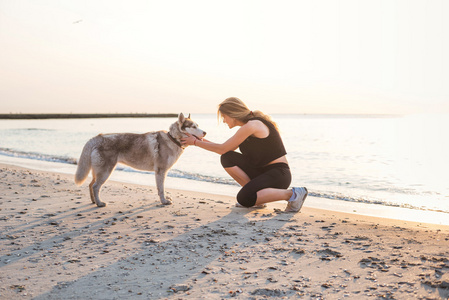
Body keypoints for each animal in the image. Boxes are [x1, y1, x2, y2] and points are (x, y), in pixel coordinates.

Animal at [74, 112, 206, 206]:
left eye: (198, 126)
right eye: (193, 126)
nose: (205, 132)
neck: (172, 138)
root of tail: (97, 137)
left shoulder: (162, 172)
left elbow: (161, 189)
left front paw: (164, 198)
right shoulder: (160, 171)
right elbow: (161, 189)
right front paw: (163, 201)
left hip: (98, 171)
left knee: (91, 184)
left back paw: (93, 201)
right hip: (105, 171)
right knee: (96, 186)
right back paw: (99, 203)